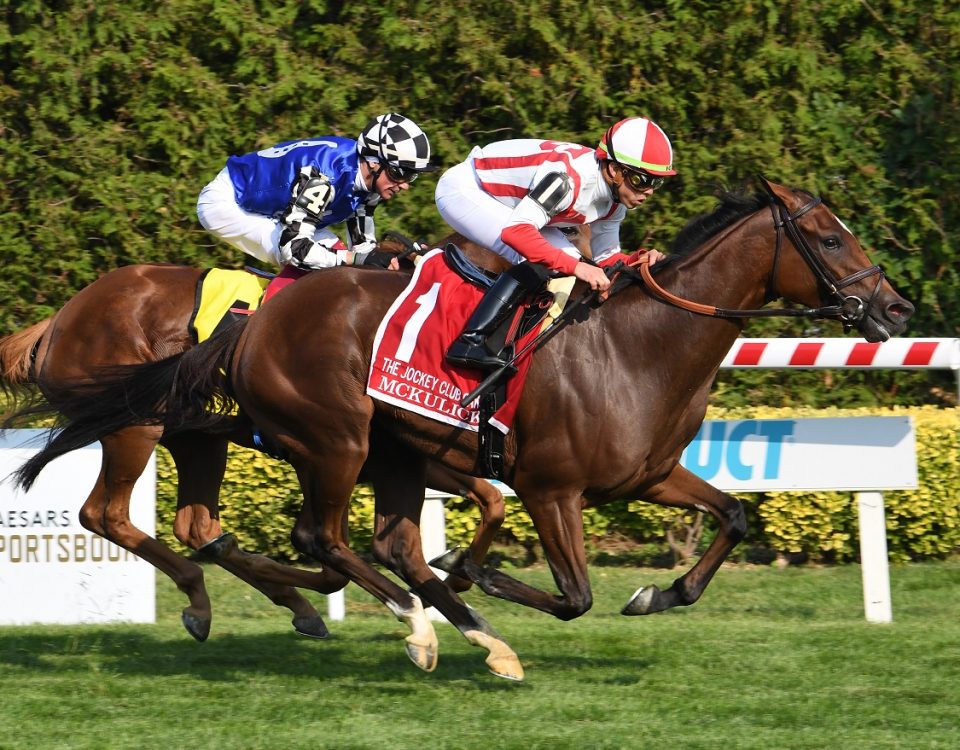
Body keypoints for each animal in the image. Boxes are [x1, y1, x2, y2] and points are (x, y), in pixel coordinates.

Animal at [0, 238, 510, 644]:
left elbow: (491, 499)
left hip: (197, 436)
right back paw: (206, 593)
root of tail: (60, 320)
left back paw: (254, 598)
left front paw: (464, 574)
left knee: (194, 525)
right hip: (135, 426)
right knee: (104, 515)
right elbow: (331, 561)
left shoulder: (411, 451)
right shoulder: (351, 452)